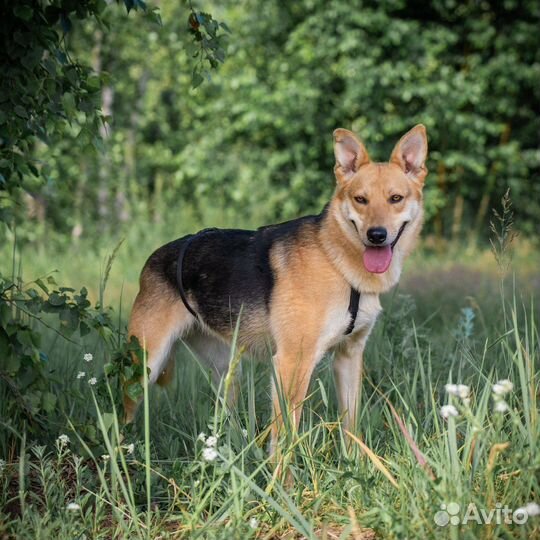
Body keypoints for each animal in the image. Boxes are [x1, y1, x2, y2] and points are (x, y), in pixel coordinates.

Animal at [124, 125, 428, 452]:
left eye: (395, 198)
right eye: (361, 199)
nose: (376, 235)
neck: (337, 262)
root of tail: (157, 256)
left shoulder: (349, 357)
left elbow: (351, 429)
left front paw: (356, 462)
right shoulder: (291, 363)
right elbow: (283, 442)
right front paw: (282, 469)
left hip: (227, 371)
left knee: (226, 420)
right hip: (146, 366)